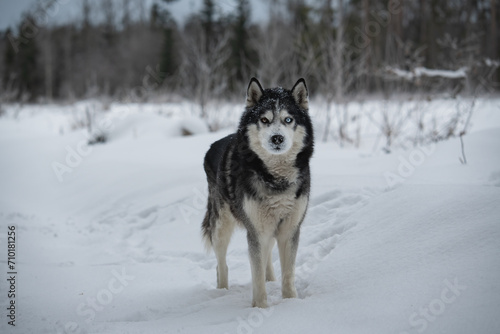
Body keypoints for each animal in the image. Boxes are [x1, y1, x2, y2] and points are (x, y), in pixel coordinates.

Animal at [202, 78, 312, 308]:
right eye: (264, 119)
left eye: (288, 119)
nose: (277, 138)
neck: (276, 180)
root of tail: (213, 144)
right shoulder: (256, 231)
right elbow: (256, 274)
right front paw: (260, 307)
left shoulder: (289, 230)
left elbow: (288, 273)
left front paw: (291, 303)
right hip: (222, 227)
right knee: (221, 264)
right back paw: (222, 291)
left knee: (267, 255)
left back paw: (271, 279)